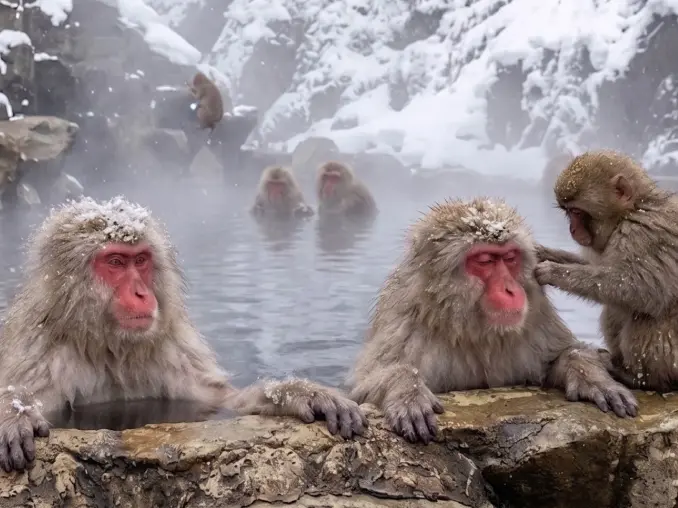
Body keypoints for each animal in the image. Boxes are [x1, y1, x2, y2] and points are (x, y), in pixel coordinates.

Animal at [0, 196, 367, 472]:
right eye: (115, 262)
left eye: (141, 260)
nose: (141, 293)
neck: (108, 347)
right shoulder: (40, 354)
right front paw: (12, 416)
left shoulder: (172, 352)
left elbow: (221, 400)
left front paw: (301, 394)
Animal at [347, 197, 638, 444]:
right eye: (485, 260)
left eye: (509, 258)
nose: (511, 289)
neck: (474, 332)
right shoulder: (405, 327)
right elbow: (362, 389)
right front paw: (407, 390)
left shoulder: (535, 322)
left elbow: (558, 359)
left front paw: (592, 378)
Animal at [534, 149, 678, 392]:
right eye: (568, 212)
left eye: (577, 212)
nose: (572, 229)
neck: (633, 209)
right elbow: (600, 269)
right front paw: (544, 252)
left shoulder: (642, 233)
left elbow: (639, 288)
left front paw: (553, 271)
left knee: (645, 313)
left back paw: (643, 379)